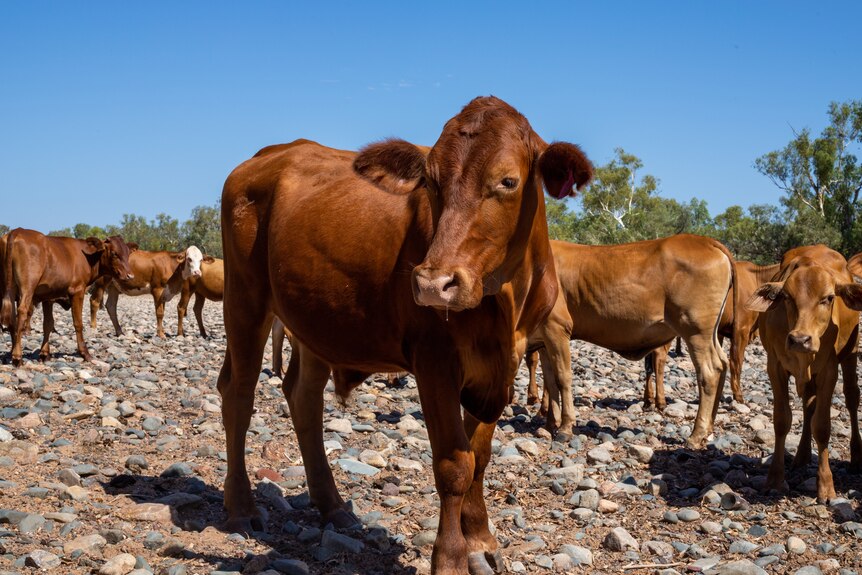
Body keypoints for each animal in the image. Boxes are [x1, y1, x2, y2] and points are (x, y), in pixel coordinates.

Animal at [0, 228, 134, 364]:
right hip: (28, 285)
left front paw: (44, 354)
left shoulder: (48, 296)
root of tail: (17, 231)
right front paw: (85, 353)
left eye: (128, 253)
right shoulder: (77, 290)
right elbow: (78, 323)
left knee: (11, 317)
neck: (88, 258)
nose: (130, 276)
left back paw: (12, 351)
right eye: (114, 253)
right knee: (22, 311)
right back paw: (17, 356)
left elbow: (48, 324)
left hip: (8, 287)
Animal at [216, 97, 592, 572]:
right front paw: (450, 557)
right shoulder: (434, 360)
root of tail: (269, 154)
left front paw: (480, 538)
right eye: (430, 181)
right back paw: (241, 507)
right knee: (239, 393)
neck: (504, 300)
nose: (434, 283)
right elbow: (454, 463)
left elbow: (480, 457)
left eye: (508, 181)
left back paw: (332, 505)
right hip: (245, 298)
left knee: (303, 397)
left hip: (314, 320)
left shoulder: (502, 367)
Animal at [528, 236, 740, 448]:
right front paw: (549, 424)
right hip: (710, 334)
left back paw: (697, 434)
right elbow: (550, 381)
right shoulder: (544, 340)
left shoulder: (556, 328)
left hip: (696, 331)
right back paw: (709, 429)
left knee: (709, 371)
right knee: (722, 364)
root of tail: (705, 240)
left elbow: (562, 378)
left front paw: (565, 427)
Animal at [640, 260, 784, 410]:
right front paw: (738, 396)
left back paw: (648, 399)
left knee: (648, 364)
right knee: (659, 358)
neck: (757, 278)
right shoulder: (741, 330)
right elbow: (736, 362)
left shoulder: (719, 332)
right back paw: (661, 401)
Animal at [748, 245, 862, 502]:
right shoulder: (775, 366)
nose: (800, 340)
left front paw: (826, 486)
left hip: (850, 353)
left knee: (852, 397)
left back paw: (856, 455)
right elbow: (782, 420)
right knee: (809, 404)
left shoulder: (829, 369)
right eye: (787, 298)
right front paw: (775, 479)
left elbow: (822, 426)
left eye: (828, 298)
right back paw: (801, 456)